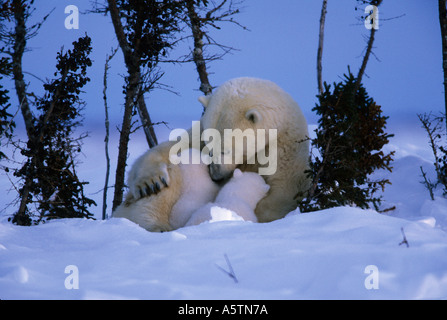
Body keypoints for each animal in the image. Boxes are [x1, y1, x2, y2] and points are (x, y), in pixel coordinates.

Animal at [122, 77, 312, 225]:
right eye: (209, 148)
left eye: (226, 150)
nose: (214, 175)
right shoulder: (199, 134)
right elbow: (172, 147)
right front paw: (150, 182)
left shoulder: (287, 149)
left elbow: (286, 189)